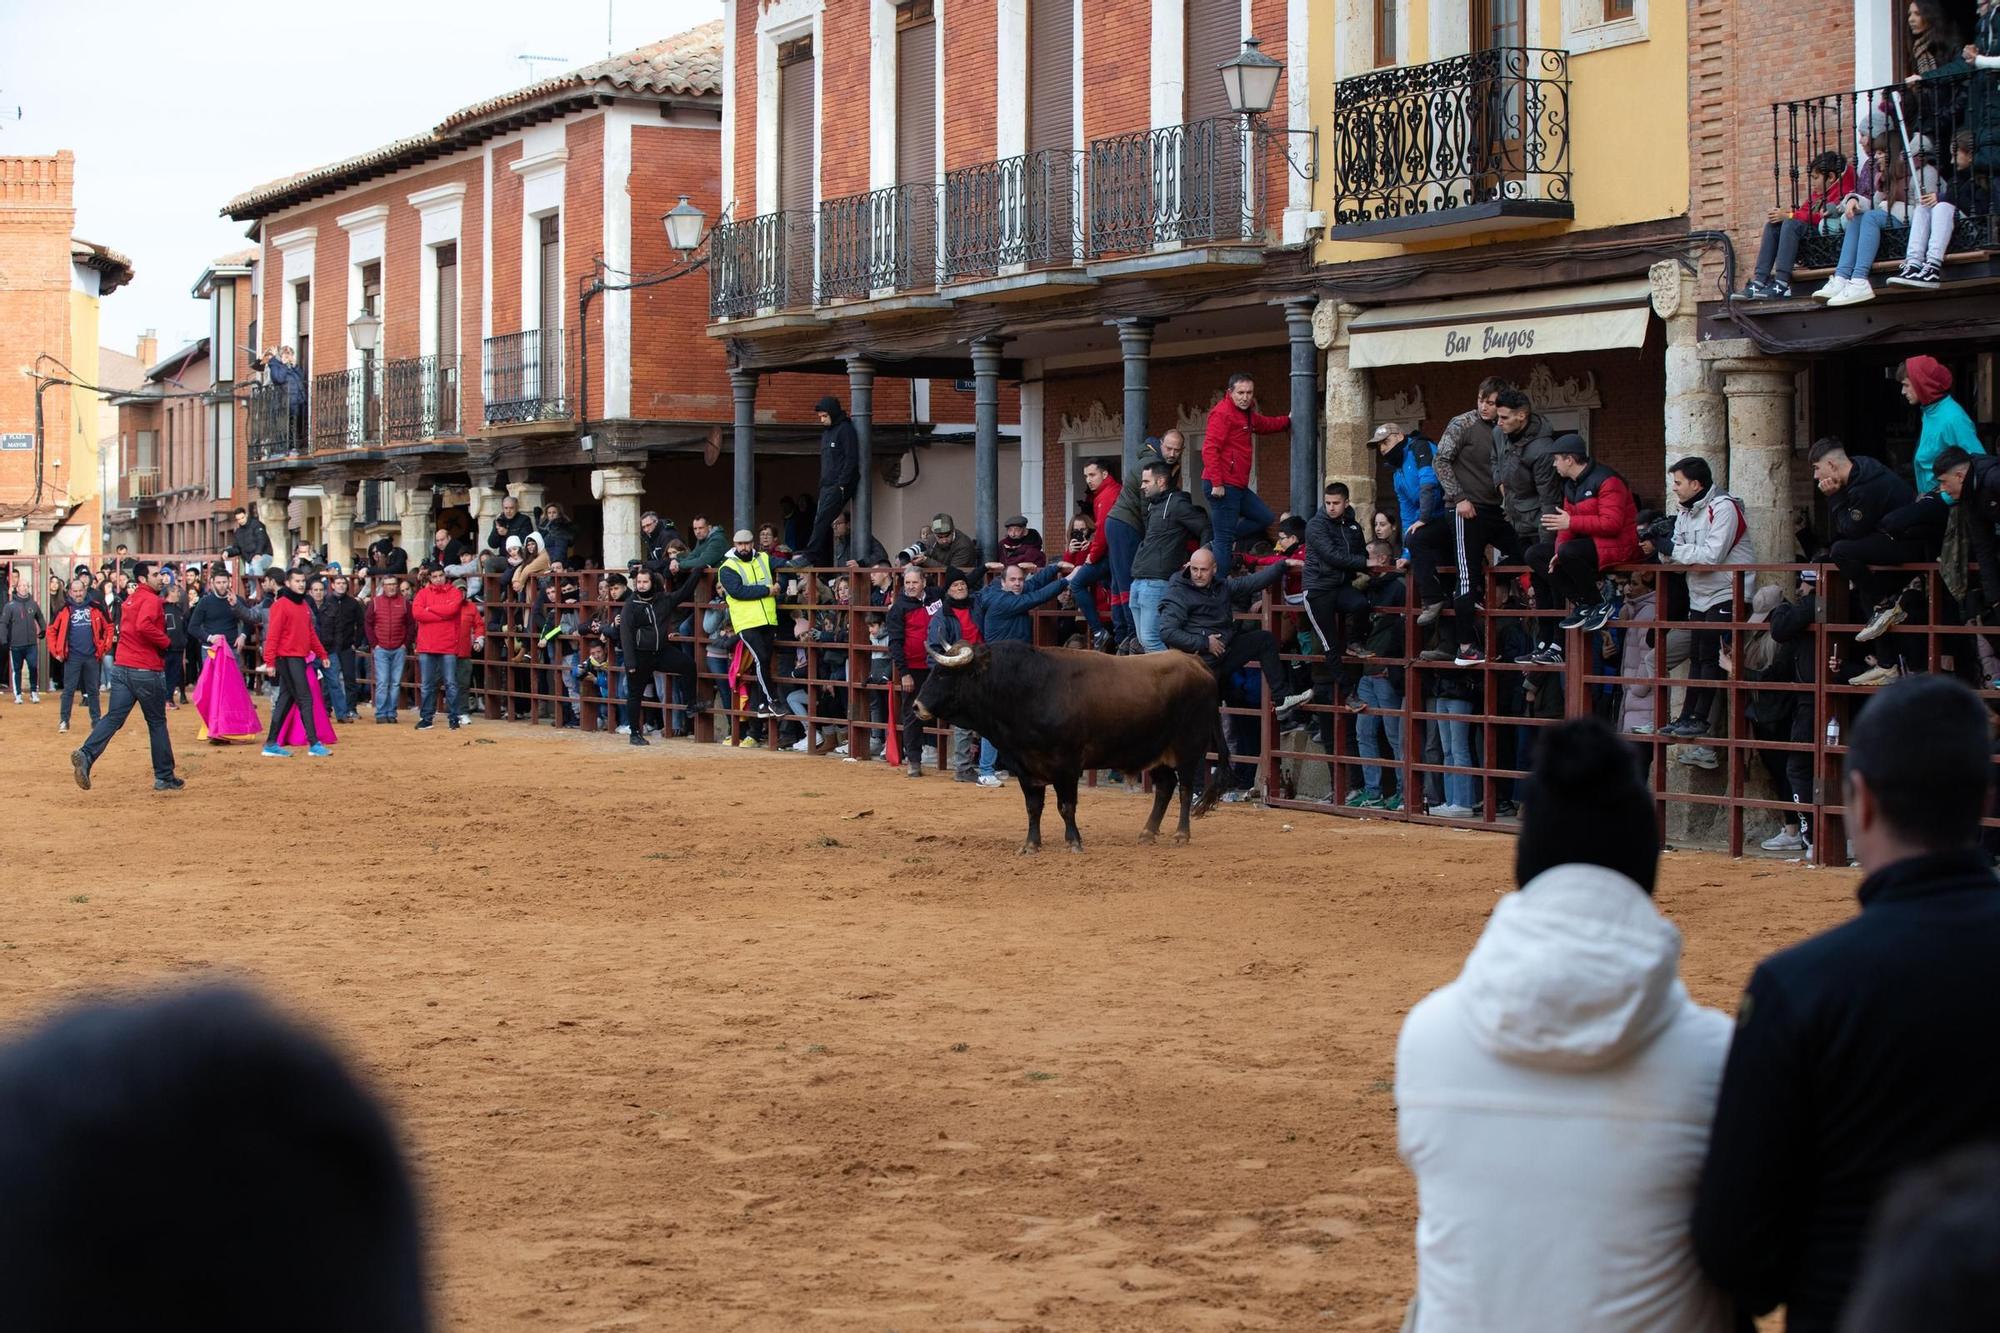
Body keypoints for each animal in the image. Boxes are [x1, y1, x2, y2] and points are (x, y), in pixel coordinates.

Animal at [912, 636, 1224, 852]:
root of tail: (1197, 663)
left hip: (1187, 750)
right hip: (1154, 752)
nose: (916, 707)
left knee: (1184, 789)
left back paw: (1181, 834)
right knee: (1165, 787)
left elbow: (1066, 806)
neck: (1026, 688)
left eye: (943, 674)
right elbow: (1033, 807)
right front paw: (1031, 845)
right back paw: (1147, 833)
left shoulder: (1067, 766)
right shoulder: (1025, 767)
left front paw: (1073, 842)